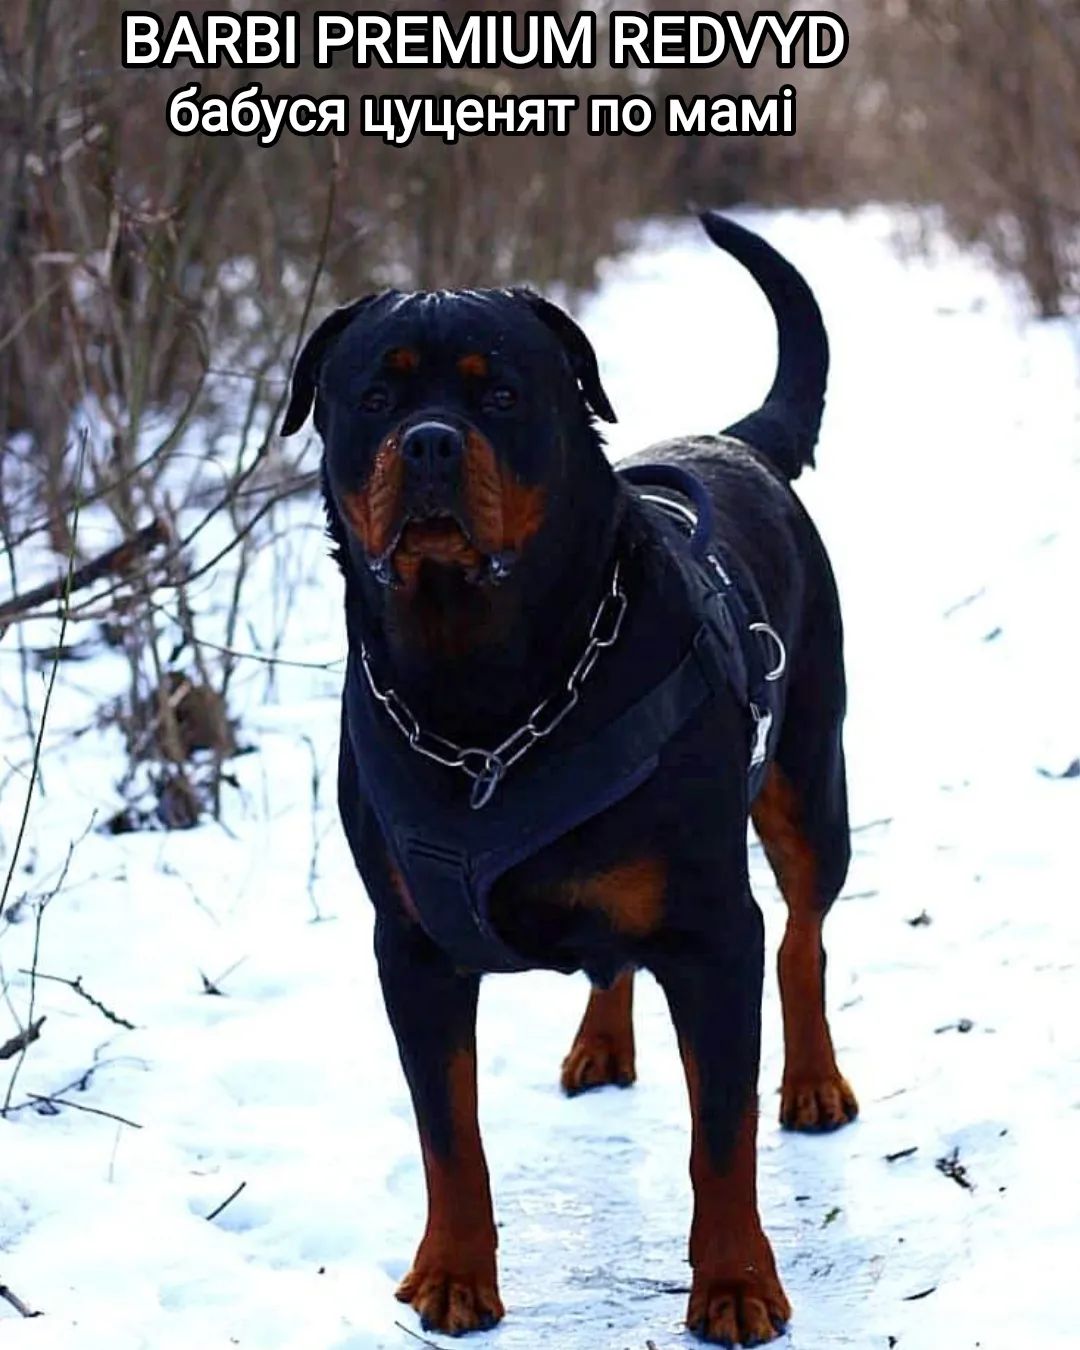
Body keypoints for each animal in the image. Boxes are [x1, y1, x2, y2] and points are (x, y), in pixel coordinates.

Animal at [284, 216, 858, 1344]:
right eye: (374, 396)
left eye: (502, 394)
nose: (430, 442)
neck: (484, 690)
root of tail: (731, 441)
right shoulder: (410, 947)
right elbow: (447, 1131)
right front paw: (453, 1273)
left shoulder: (712, 933)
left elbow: (720, 1135)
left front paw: (735, 1284)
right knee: (610, 955)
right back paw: (600, 1043)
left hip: (812, 782)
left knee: (804, 933)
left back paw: (813, 1080)